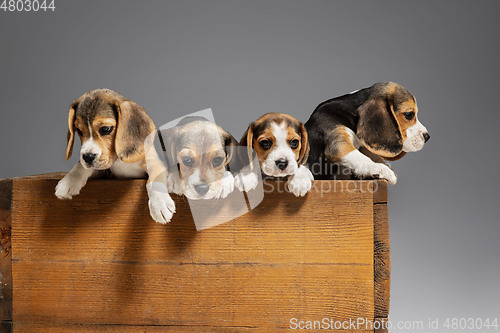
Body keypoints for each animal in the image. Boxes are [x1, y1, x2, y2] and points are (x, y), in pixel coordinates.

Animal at [54, 88, 176, 223]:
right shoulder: (106, 171)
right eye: (79, 131)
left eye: (105, 129)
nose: (87, 157)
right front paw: (69, 181)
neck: (119, 160)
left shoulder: (155, 162)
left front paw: (159, 204)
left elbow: (153, 180)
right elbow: (80, 166)